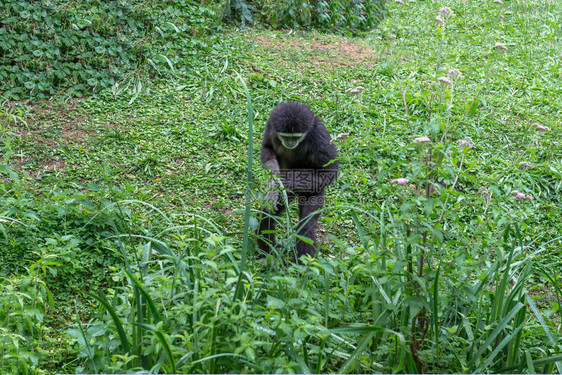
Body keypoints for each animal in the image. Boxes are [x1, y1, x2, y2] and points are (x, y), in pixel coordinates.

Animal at [258, 103, 336, 262]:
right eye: (285, 136)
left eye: (296, 137)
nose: (290, 142)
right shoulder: (271, 125)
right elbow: (267, 147)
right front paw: (273, 182)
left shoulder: (319, 134)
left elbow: (329, 172)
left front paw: (282, 183)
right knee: (266, 212)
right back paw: (268, 257)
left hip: (314, 191)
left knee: (305, 228)